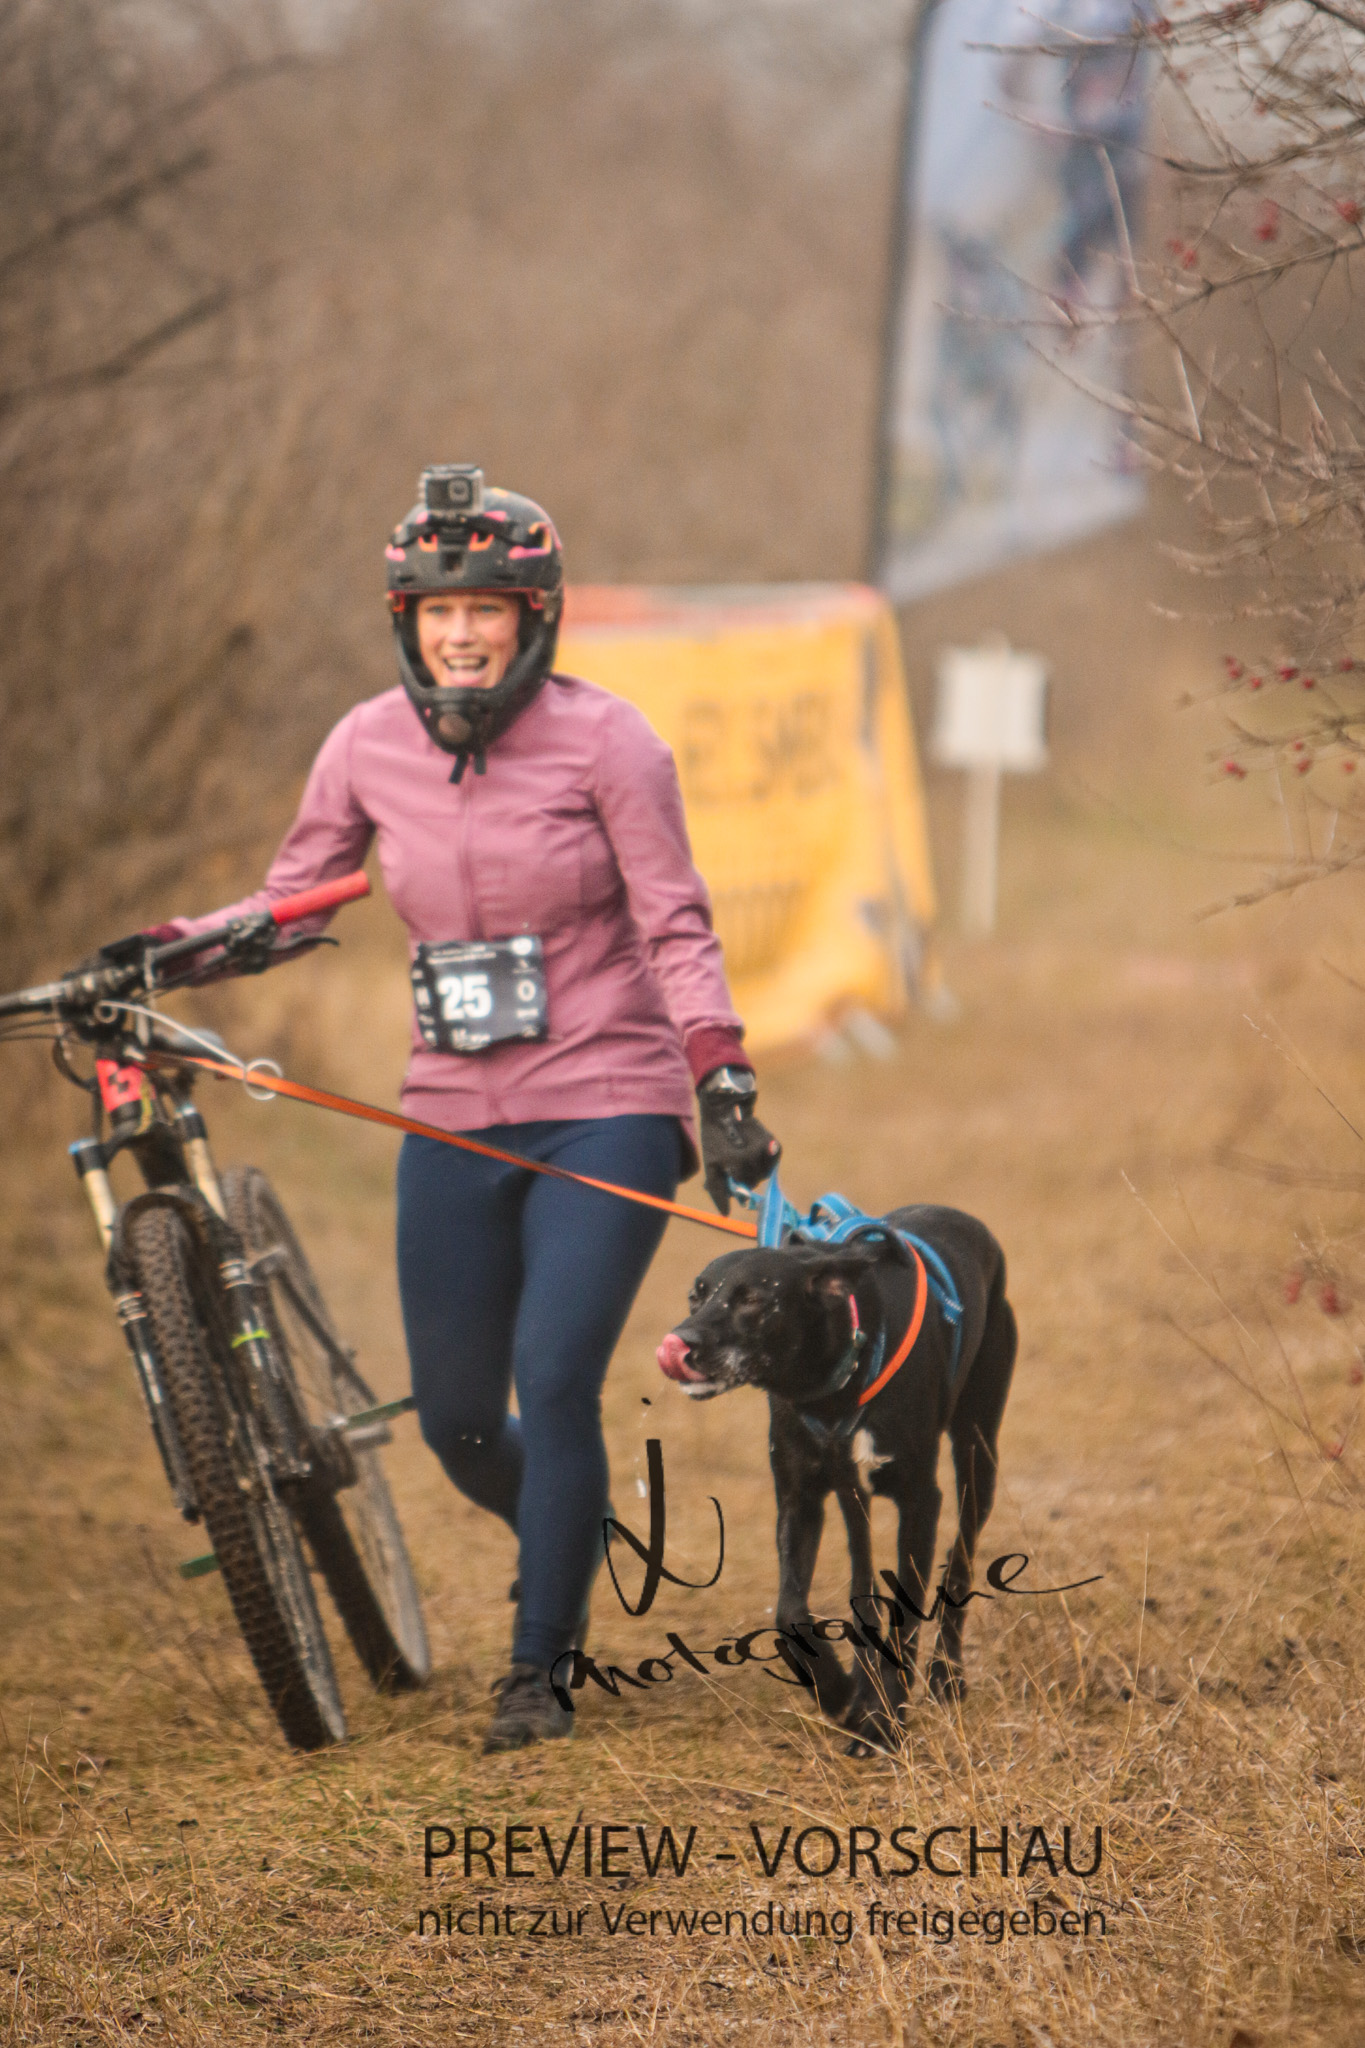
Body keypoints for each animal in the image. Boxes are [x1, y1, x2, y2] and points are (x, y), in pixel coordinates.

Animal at [656, 1206, 1016, 1750]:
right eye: (696, 1295)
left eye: (754, 1299)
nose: (682, 1342)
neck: (834, 1381)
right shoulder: (800, 1496)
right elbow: (790, 1612)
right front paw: (841, 1696)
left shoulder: (919, 1500)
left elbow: (907, 1613)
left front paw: (886, 1722)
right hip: (855, 1499)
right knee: (864, 1582)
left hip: (977, 1451)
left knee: (962, 1556)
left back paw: (945, 1676)